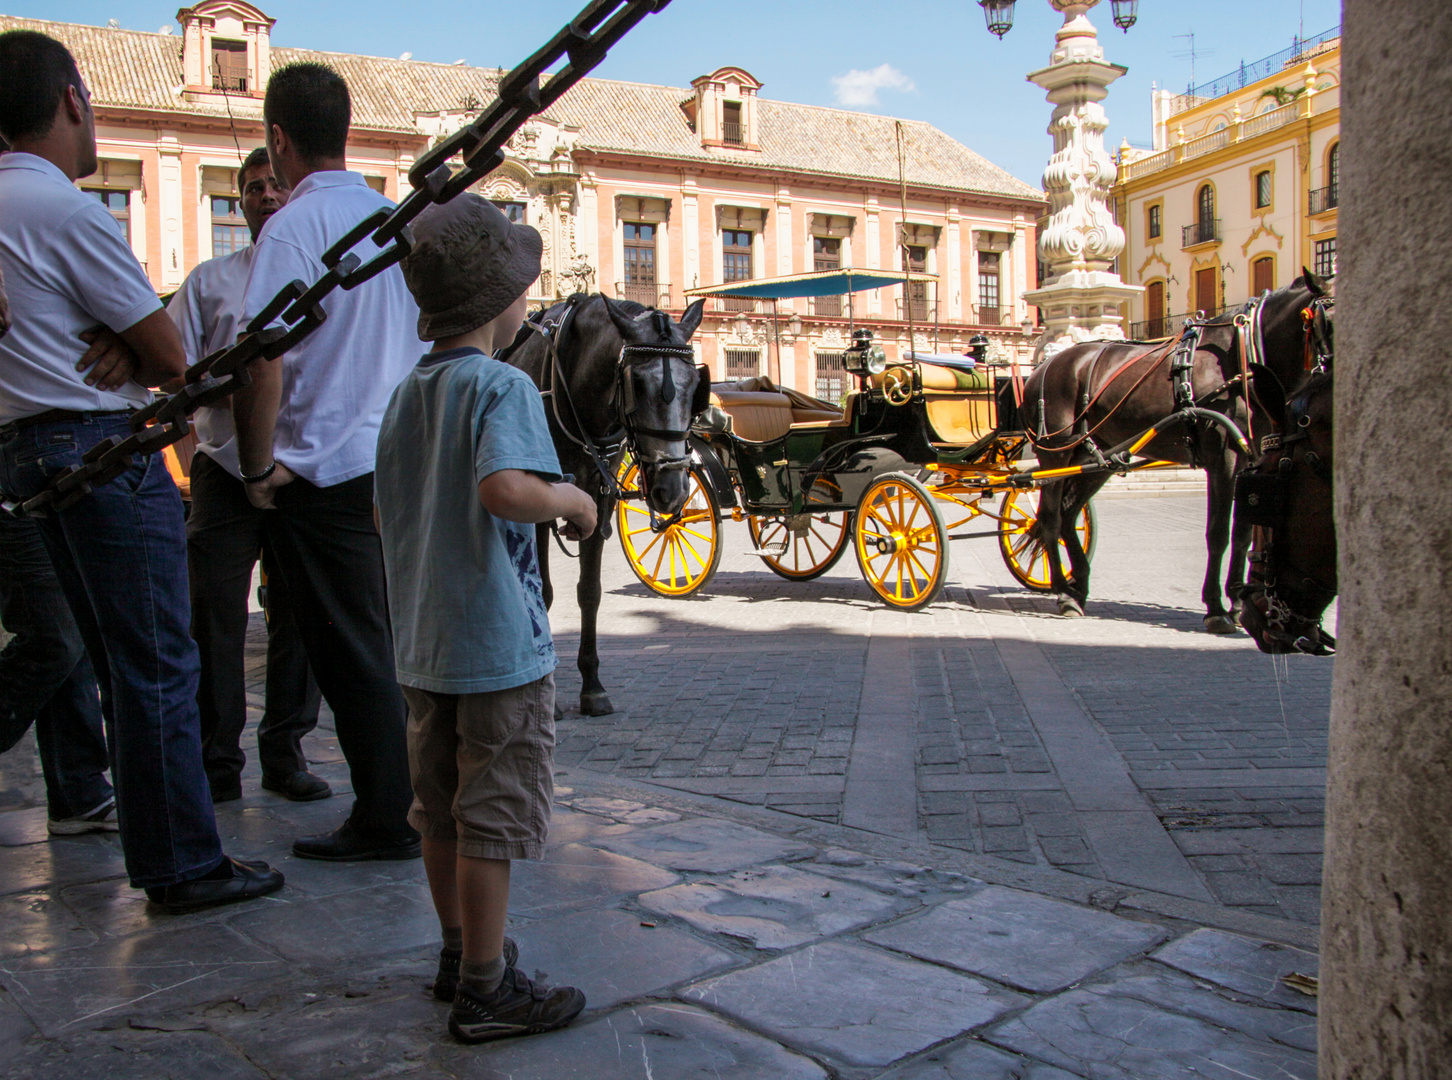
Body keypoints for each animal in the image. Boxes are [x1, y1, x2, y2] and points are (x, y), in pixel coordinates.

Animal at [505, 294, 708, 717]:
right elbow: (544, 592)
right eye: (637, 384)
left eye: (696, 385)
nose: (672, 488)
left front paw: (592, 685)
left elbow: (590, 592)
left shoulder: (598, 501)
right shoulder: (535, 503)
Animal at [1016, 268, 1330, 624]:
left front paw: (1237, 603)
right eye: (1328, 316)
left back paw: (1077, 588)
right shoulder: (1224, 458)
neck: (1242, 361)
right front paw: (1216, 608)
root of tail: (1044, 367)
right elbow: (1218, 532)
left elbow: (1243, 533)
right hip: (1055, 453)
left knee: (1068, 515)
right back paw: (1060, 588)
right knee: (1051, 517)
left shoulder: (1253, 459)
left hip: (1095, 458)